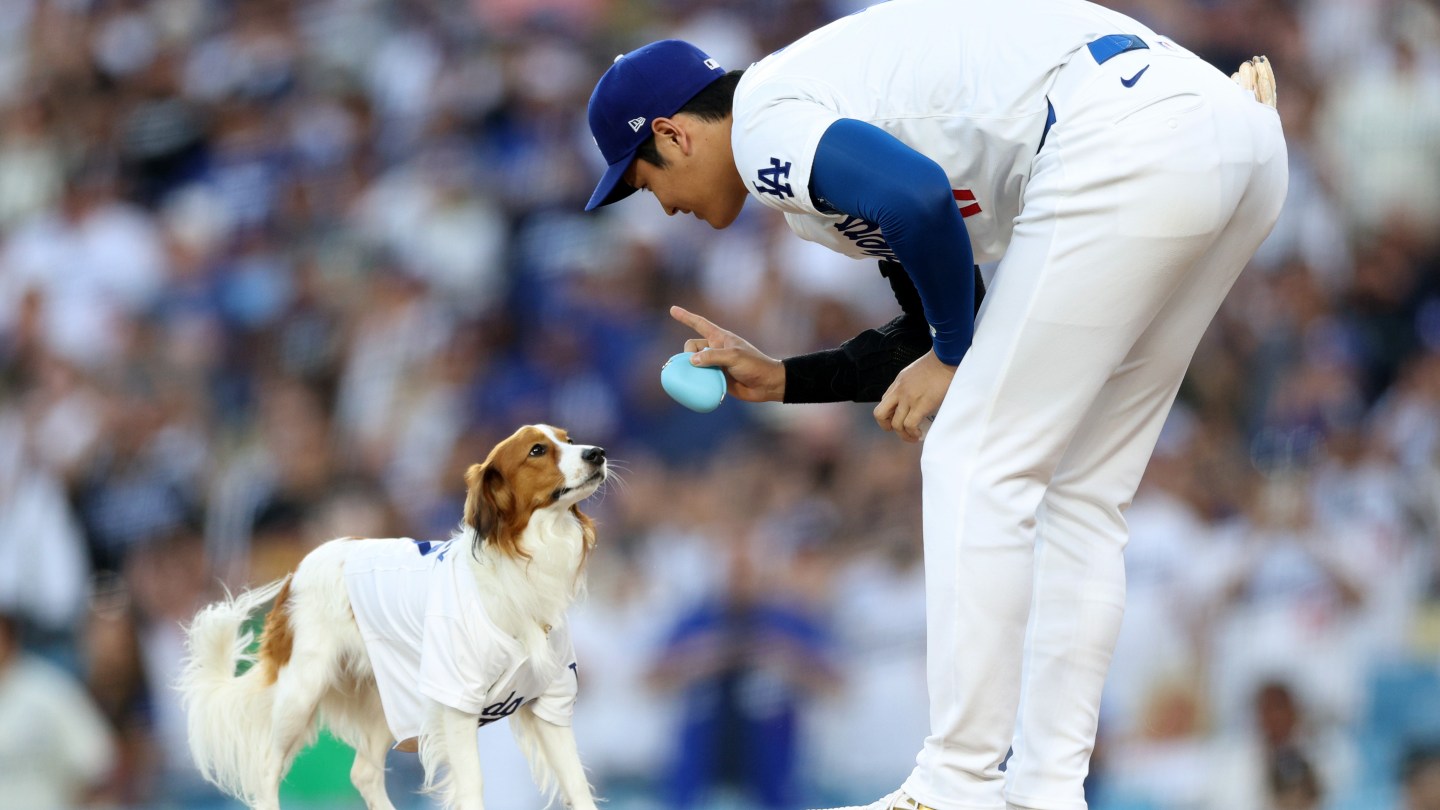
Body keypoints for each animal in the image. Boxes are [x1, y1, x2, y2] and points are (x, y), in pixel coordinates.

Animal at [177, 423, 610, 807]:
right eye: (537, 450)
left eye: (569, 439)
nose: (598, 453)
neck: (524, 561)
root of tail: (297, 571)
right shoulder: (457, 701)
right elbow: (473, 785)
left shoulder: (552, 697)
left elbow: (576, 784)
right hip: (302, 692)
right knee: (267, 768)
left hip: (392, 701)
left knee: (363, 773)